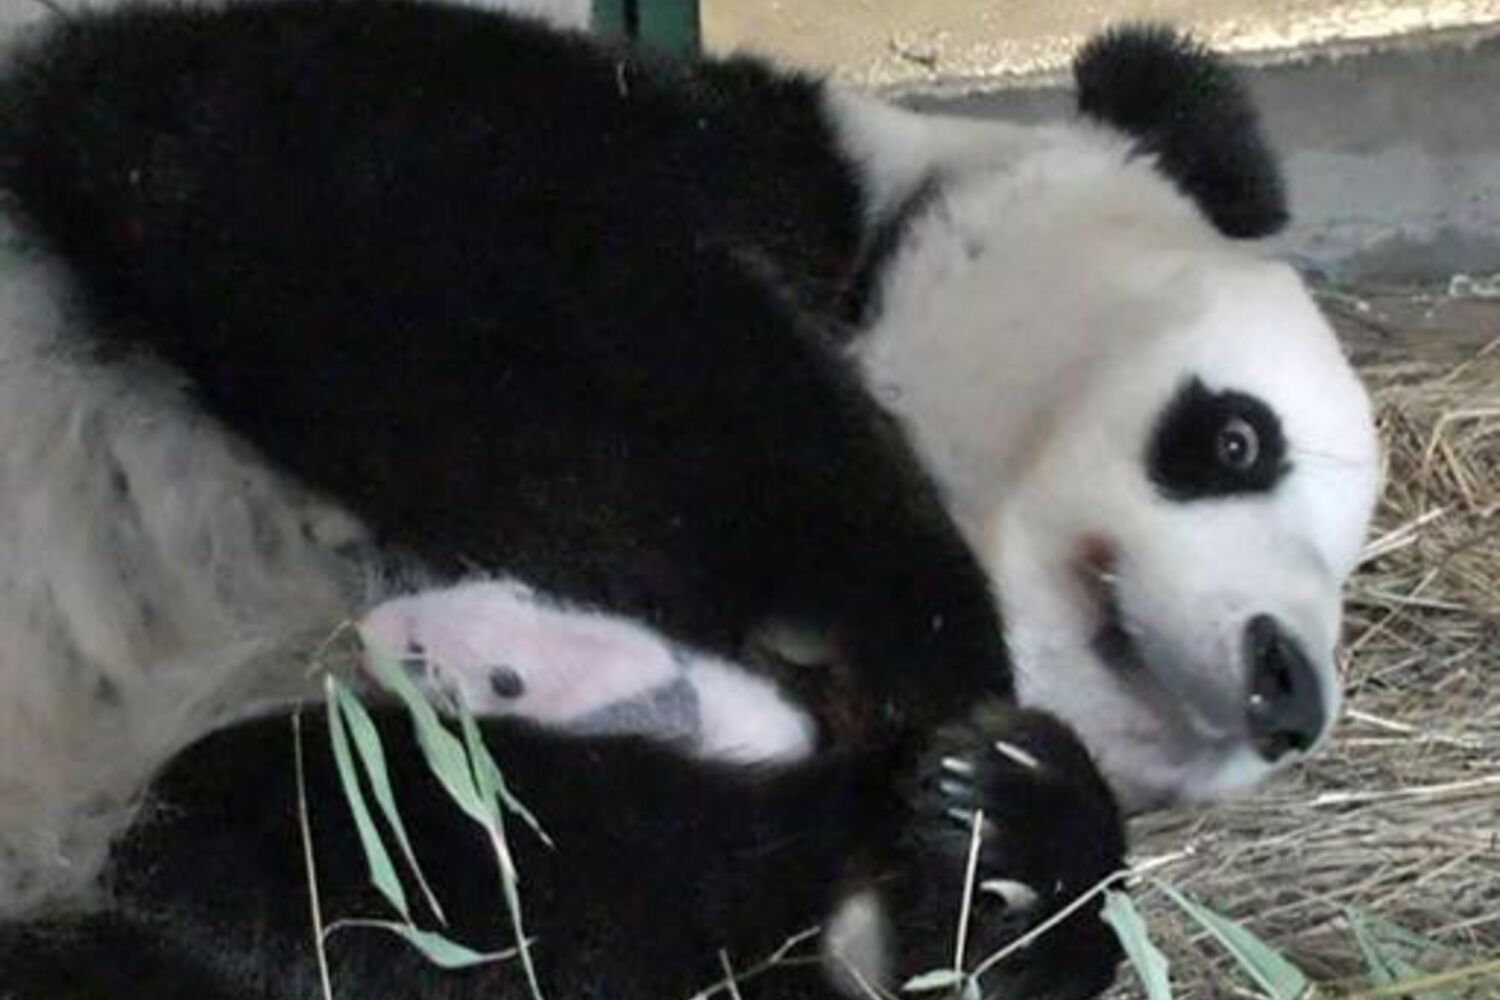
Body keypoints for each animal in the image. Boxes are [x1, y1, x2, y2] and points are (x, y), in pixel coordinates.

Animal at [0, 2, 1378, 997]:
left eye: (1347, 567)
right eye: (1238, 438)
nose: (1290, 693)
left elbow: (449, 875)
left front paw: (1012, 842)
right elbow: (394, 203)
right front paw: (903, 617)